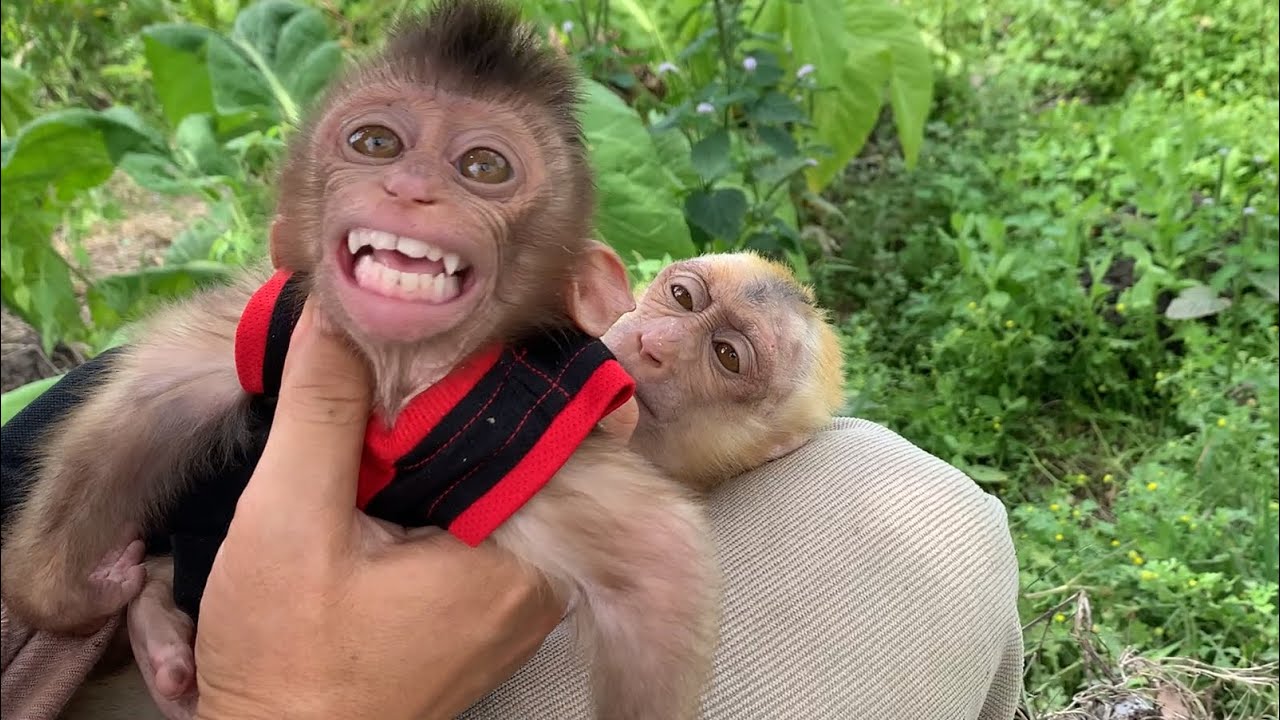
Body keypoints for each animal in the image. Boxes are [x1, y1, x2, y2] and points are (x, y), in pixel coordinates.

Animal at [0, 3, 720, 719]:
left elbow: (653, 567)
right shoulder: (272, 320)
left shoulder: (524, 445)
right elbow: (152, 392)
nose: (409, 188)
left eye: (484, 167)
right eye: (376, 144)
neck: (391, 380)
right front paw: (65, 595)